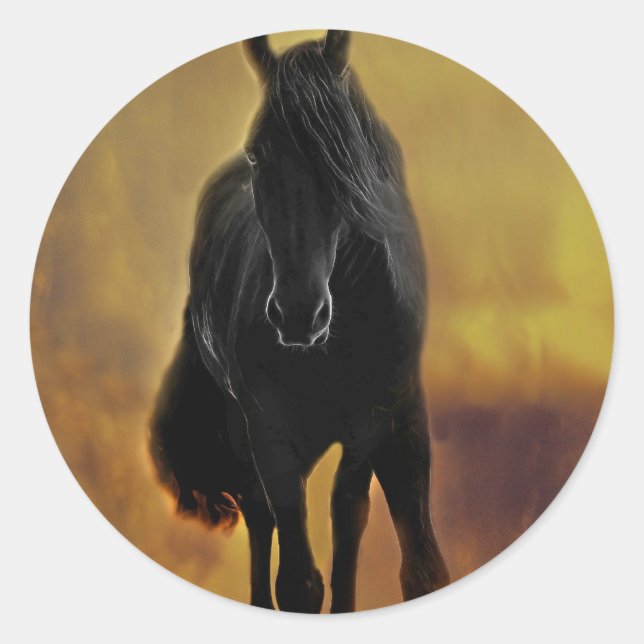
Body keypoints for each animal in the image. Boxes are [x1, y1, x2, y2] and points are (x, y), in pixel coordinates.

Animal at [149, 30, 450, 613]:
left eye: (340, 158)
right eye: (257, 153)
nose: (297, 314)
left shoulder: (381, 426)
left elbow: (372, 536)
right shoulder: (272, 435)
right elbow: (297, 582)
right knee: (260, 517)